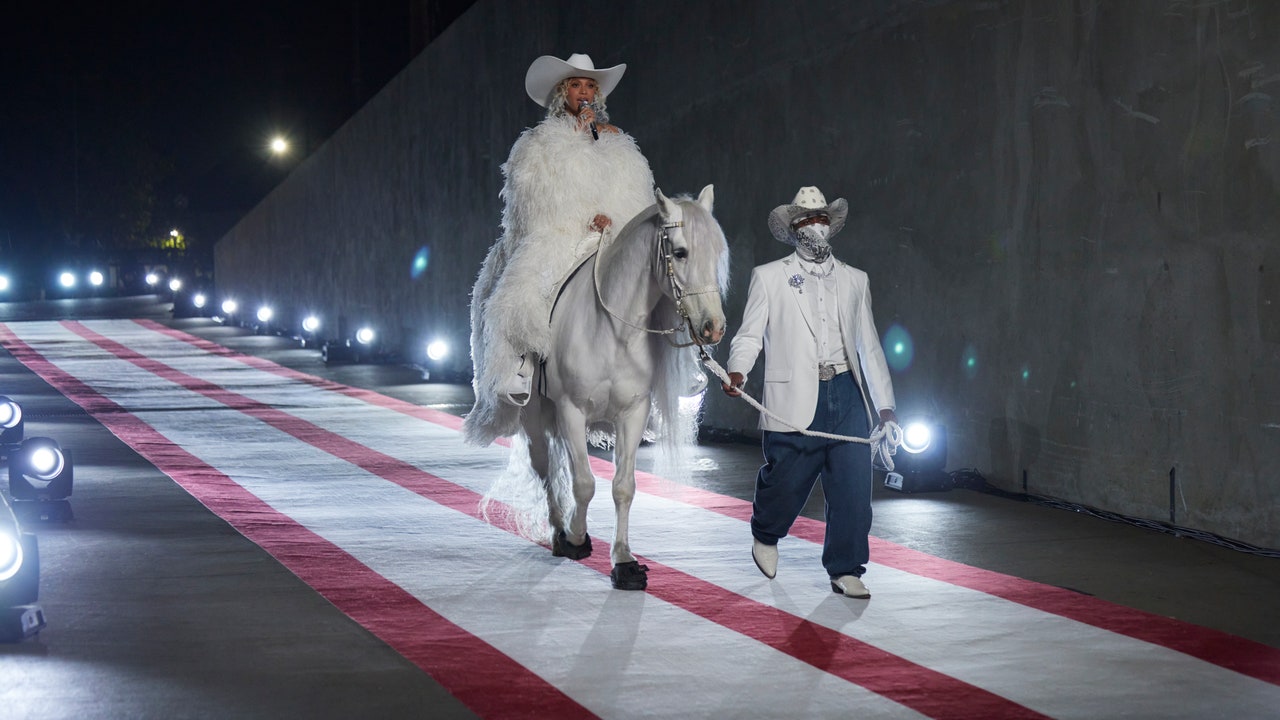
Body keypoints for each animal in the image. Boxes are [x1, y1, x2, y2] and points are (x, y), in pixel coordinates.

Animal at [514, 184, 727, 589]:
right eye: (680, 252)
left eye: (716, 253)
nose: (713, 327)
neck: (612, 331)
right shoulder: (571, 410)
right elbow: (583, 482)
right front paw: (577, 538)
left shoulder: (632, 413)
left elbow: (623, 486)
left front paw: (624, 562)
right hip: (536, 412)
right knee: (545, 465)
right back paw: (558, 530)